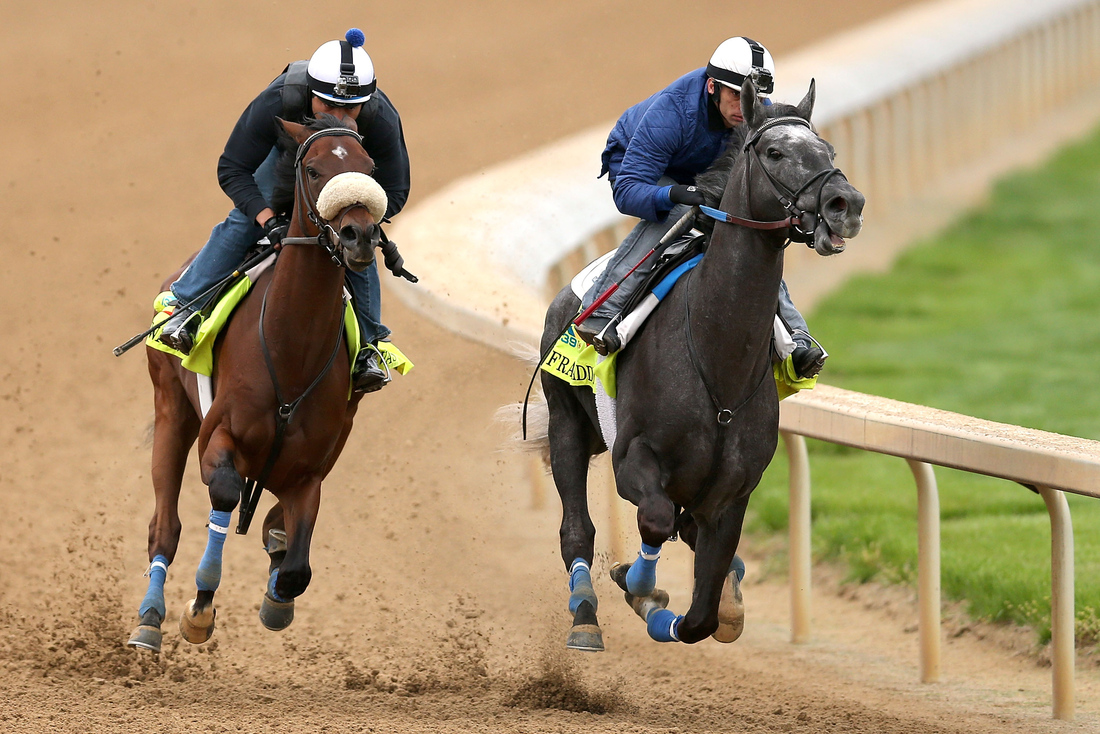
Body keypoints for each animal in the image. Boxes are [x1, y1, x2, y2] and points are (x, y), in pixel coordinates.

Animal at [127, 114, 386, 652]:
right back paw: (150, 618)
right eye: (313, 170)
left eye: (370, 168)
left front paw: (276, 598)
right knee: (165, 525)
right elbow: (225, 493)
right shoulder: (217, 438)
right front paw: (200, 609)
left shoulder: (309, 472)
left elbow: (295, 565)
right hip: (171, 408)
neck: (292, 352)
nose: (358, 236)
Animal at [527, 79, 865, 650]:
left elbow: (701, 616)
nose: (847, 203)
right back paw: (585, 614)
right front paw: (640, 589)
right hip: (566, 421)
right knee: (578, 527)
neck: (717, 362)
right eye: (775, 152)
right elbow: (656, 520)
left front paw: (681, 602)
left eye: (828, 151)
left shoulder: (732, 494)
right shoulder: (632, 460)